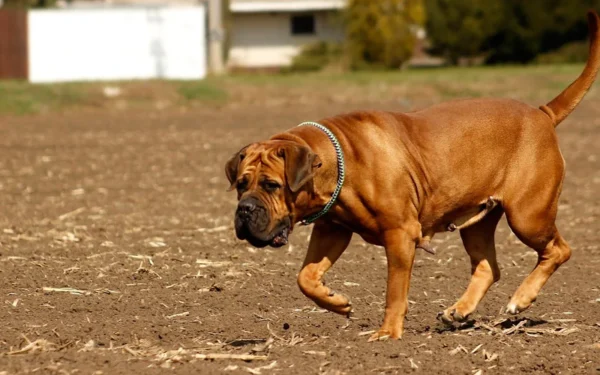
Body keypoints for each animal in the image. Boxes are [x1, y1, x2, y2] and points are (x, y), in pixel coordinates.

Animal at [225, 11, 600, 342]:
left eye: (272, 185)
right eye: (241, 184)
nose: (244, 210)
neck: (336, 162)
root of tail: (542, 114)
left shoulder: (400, 235)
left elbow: (394, 290)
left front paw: (388, 333)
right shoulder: (333, 230)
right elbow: (305, 276)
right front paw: (337, 302)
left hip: (528, 215)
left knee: (559, 250)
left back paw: (521, 298)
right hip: (479, 222)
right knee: (488, 266)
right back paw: (458, 311)